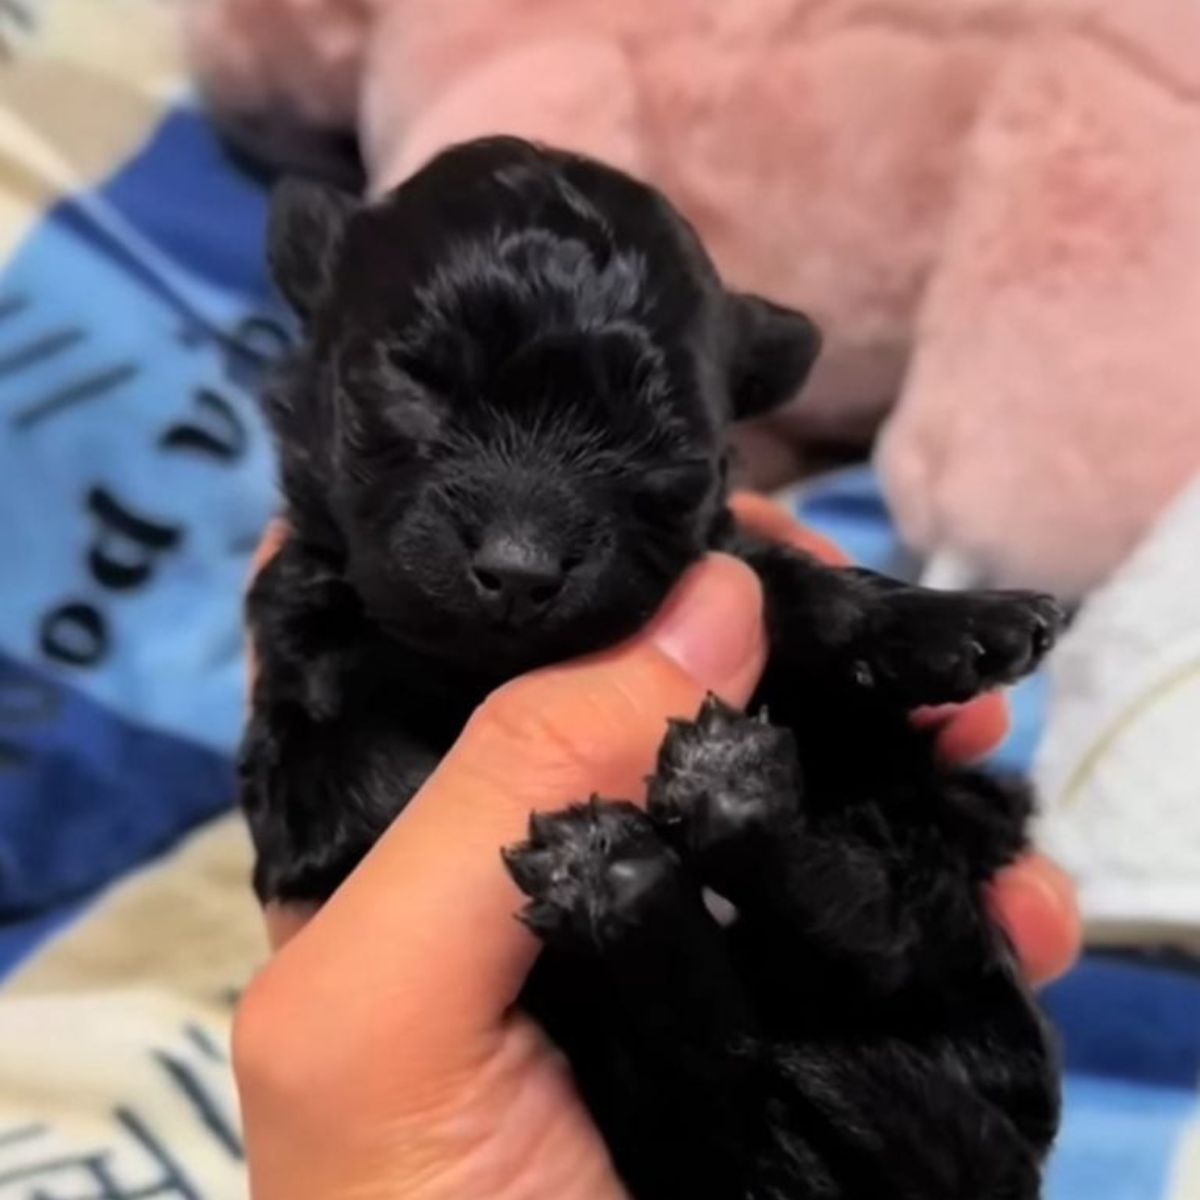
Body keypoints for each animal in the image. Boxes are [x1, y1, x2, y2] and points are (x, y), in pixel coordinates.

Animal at [241, 136, 1060, 1195]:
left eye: (658, 441)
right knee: (724, 1055)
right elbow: (366, 774)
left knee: (869, 937)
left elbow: (783, 585)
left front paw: (950, 622)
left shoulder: (734, 574)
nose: (518, 571)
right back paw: (625, 875)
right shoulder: (302, 718)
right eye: (416, 381)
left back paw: (715, 810)